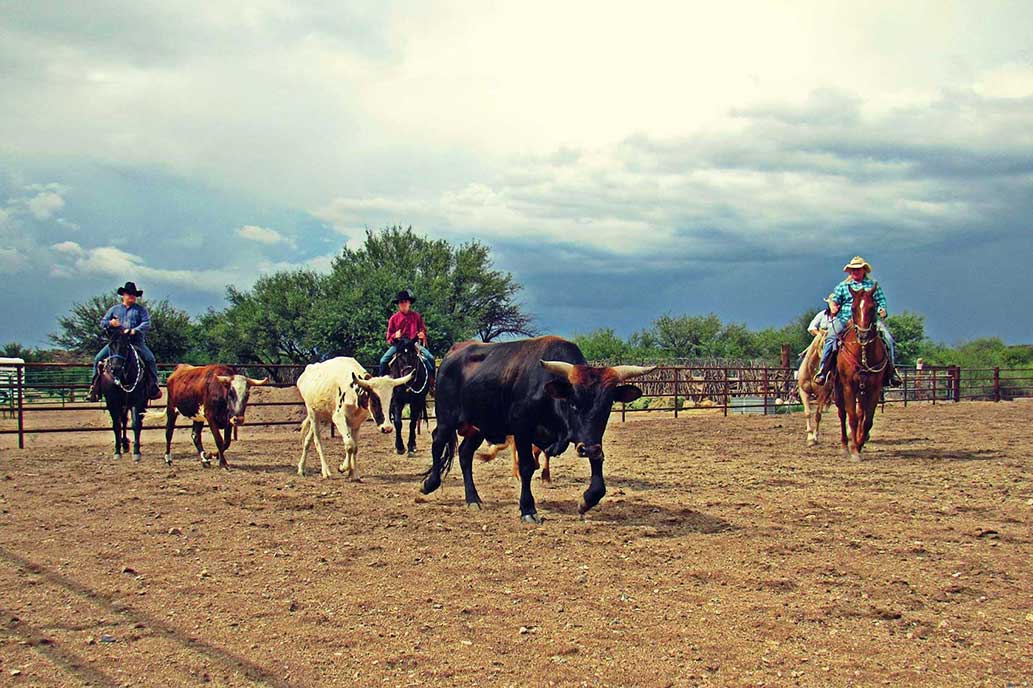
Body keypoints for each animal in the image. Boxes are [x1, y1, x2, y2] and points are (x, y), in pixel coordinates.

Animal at [98, 328, 150, 460]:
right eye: (110, 346)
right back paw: (124, 444)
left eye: (125, 346)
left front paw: (136, 452)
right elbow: (116, 425)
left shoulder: (137, 401)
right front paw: (117, 451)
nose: (115, 368)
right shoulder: (112, 402)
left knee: (131, 420)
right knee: (123, 420)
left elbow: (136, 424)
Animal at [830, 283, 888, 460]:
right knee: (843, 414)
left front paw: (860, 443)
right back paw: (844, 446)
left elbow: (867, 420)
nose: (863, 335)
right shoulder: (849, 386)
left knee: (861, 413)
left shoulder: (874, 389)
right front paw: (854, 450)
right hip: (838, 389)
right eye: (853, 307)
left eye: (872, 307)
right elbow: (852, 418)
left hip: (862, 391)